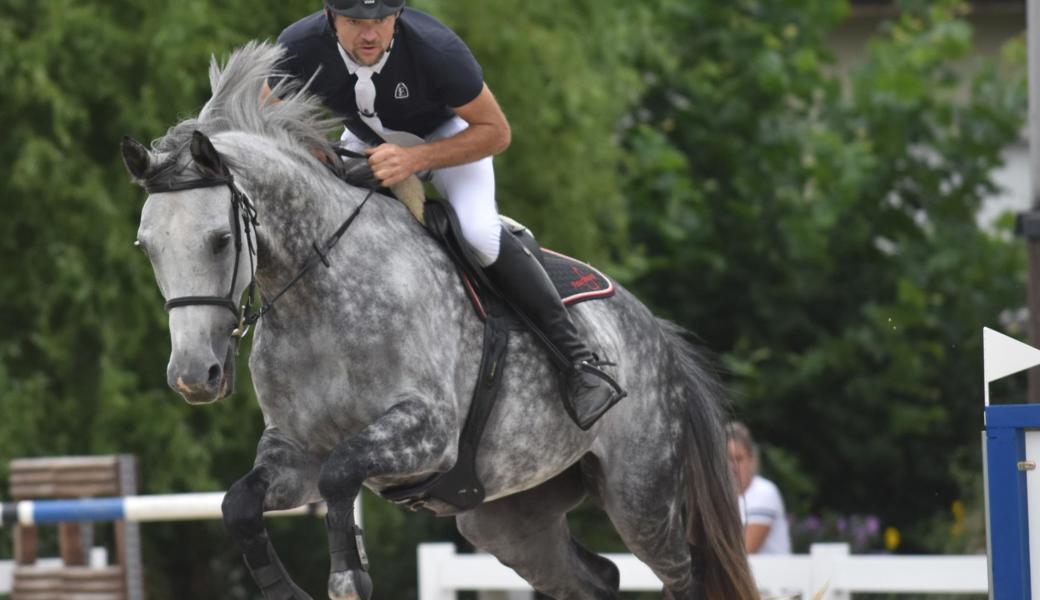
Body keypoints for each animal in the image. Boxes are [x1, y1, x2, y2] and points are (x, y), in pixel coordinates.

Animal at [121, 43, 757, 598]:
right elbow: (239, 504)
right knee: (595, 578)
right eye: (146, 247)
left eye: (221, 240)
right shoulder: (295, 453)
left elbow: (340, 478)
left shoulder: (427, 433)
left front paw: (347, 576)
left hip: (642, 498)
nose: (193, 376)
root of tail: (656, 333)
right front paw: (288, 587)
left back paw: (590, 383)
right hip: (509, 519)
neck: (318, 301)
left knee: (684, 575)